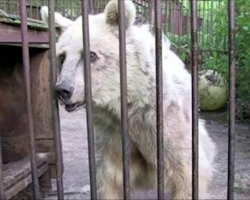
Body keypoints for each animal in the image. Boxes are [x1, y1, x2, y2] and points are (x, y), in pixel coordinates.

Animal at [40, 0, 216, 199]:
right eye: (62, 56)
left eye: (91, 54)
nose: (63, 90)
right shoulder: (111, 135)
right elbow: (110, 179)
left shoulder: (166, 124)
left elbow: (187, 174)